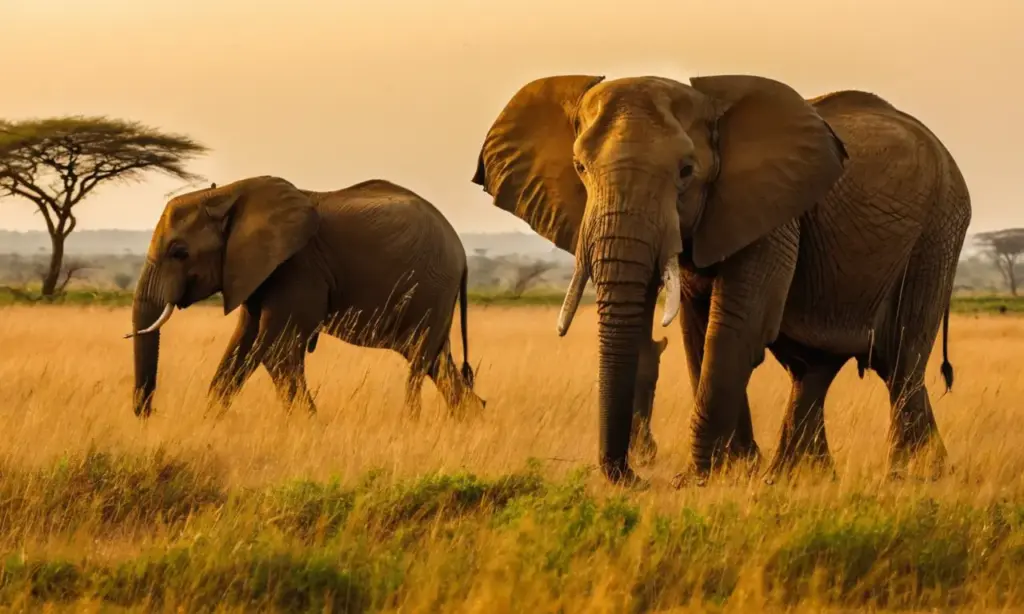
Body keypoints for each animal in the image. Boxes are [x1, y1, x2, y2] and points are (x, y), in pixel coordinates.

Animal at [126, 175, 485, 418]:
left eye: (180, 252)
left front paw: (310, 426)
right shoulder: (257, 271)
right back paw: (470, 417)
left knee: (421, 360)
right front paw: (210, 421)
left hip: (431, 290)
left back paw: (413, 420)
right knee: (437, 361)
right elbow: (241, 344)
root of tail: (462, 252)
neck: (228, 193)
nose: (149, 415)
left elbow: (277, 350)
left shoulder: (298, 267)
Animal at [471, 74, 971, 487]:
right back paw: (797, 477)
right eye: (579, 169)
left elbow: (733, 329)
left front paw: (700, 478)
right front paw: (737, 471)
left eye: (686, 172)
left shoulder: (771, 214)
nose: (631, 478)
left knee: (900, 358)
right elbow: (696, 331)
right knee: (817, 366)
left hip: (938, 231)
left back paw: (914, 476)